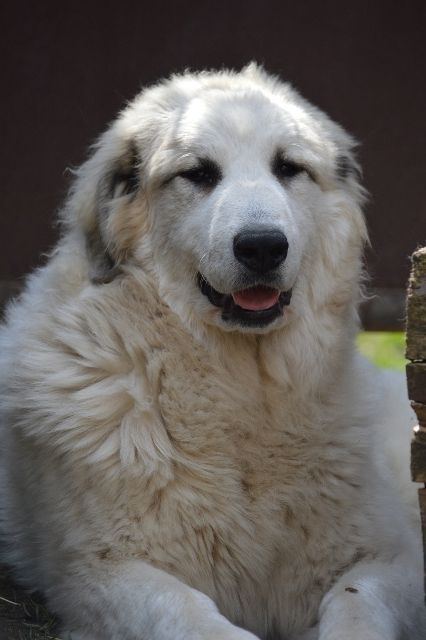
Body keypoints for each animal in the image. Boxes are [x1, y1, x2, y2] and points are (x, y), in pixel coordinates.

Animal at [0, 66, 426, 640]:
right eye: (198, 173)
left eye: (288, 168)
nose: (263, 246)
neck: (242, 394)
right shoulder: (101, 572)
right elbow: (192, 614)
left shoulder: (392, 558)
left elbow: (355, 604)